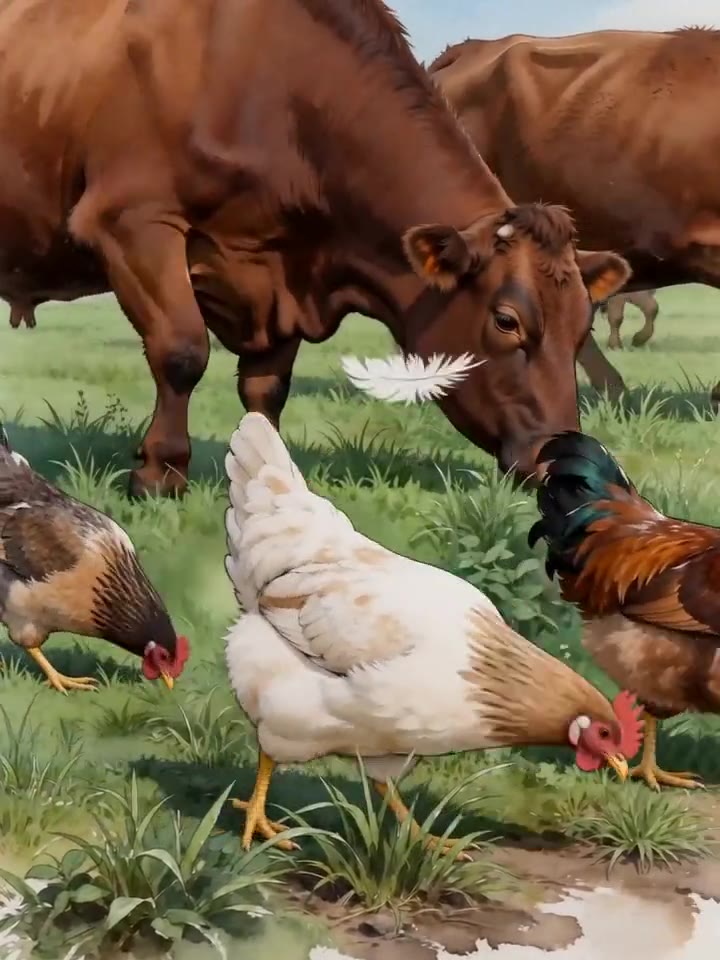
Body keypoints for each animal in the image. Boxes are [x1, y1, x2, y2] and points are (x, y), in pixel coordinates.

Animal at [0, 0, 628, 496]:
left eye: (581, 329)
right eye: (506, 321)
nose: (565, 462)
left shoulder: (283, 272)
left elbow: (266, 387)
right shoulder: (130, 220)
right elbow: (182, 352)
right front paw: (160, 472)